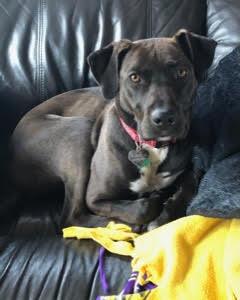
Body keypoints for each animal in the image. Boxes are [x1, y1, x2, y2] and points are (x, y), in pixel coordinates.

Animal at [9, 29, 217, 230]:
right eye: (135, 77)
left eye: (181, 72)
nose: (164, 118)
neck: (152, 147)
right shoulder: (95, 197)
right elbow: (143, 207)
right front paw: (154, 203)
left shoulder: (187, 169)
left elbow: (190, 184)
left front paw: (165, 215)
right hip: (79, 131)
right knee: (71, 218)